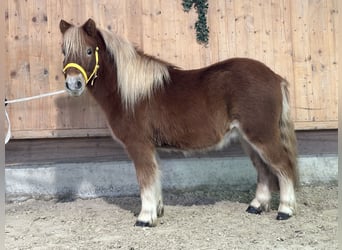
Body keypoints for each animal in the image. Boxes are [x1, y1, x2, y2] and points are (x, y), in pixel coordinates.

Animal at [60, 19, 298, 227]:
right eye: (64, 51)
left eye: (88, 51)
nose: (73, 84)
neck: (129, 93)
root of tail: (275, 77)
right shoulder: (150, 147)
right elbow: (155, 177)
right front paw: (157, 211)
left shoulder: (139, 145)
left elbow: (145, 180)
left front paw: (145, 218)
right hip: (247, 139)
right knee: (264, 170)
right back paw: (256, 206)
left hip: (262, 136)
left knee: (283, 166)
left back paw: (285, 210)